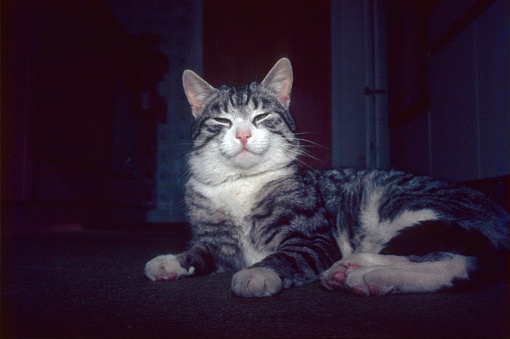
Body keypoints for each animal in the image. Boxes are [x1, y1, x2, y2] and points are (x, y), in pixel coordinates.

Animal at [144, 57, 510, 298]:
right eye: (221, 121)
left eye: (261, 116)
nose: (244, 134)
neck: (241, 184)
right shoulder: (215, 242)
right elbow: (198, 250)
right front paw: (169, 262)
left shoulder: (314, 240)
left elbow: (285, 256)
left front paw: (257, 273)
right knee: (453, 261)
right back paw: (357, 272)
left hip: (406, 207)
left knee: (460, 259)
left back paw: (361, 272)